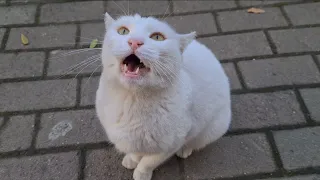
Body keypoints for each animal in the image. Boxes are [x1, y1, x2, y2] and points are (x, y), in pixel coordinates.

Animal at [96, 12, 231, 180]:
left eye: (157, 37)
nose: (135, 42)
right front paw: (131, 159)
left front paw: (141, 173)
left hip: (214, 128)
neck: (131, 100)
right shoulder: (131, 138)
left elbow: (149, 161)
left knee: (196, 141)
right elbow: (135, 151)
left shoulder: (170, 145)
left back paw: (185, 150)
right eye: (123, 31)